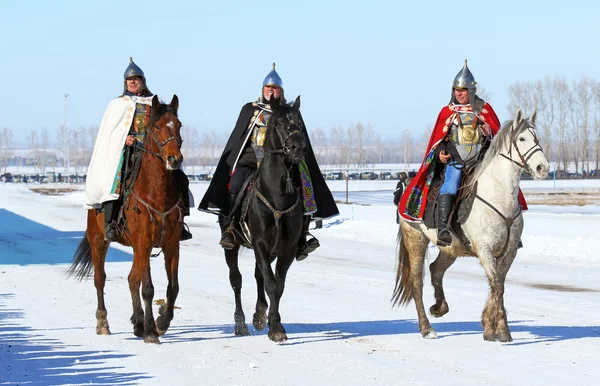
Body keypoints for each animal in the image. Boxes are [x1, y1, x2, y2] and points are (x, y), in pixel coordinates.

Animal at [69, 95, 184, 344]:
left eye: (179, 125)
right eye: (157, 127)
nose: (174, 159)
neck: (157, 194)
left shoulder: (171, 245)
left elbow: (173, 287)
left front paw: (160, 322)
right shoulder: (143, 242)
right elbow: (148, 288)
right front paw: (151, 332)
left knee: (132, 279)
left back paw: (138, 322)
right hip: (99, 241)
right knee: (100, 279)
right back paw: (103, 323)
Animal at [225, 95, 310, 342]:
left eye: (298, 122)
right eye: (279, 123)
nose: (298, 147)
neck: (277, 196)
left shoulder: (286, 248)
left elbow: (277, 285)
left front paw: (272, 322)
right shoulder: (260, 243)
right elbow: (271, 283)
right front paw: (275, 328)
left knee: (258, 275)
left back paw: (259, 314)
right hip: (232, 247)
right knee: (236, 279)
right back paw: (241, 323)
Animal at [392, 108, 552, 340]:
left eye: (536, 137)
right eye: (521, 138)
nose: (542, 168)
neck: (499, 196)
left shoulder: (509, 251)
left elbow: (498, 284)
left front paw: (490, 327)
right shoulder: (485, 249)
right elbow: (497, 285)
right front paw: (502, 331)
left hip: (450, 248)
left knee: (436, 270)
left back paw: (439, 308)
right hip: (416, 240)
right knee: (417, 283)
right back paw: (427, 328)